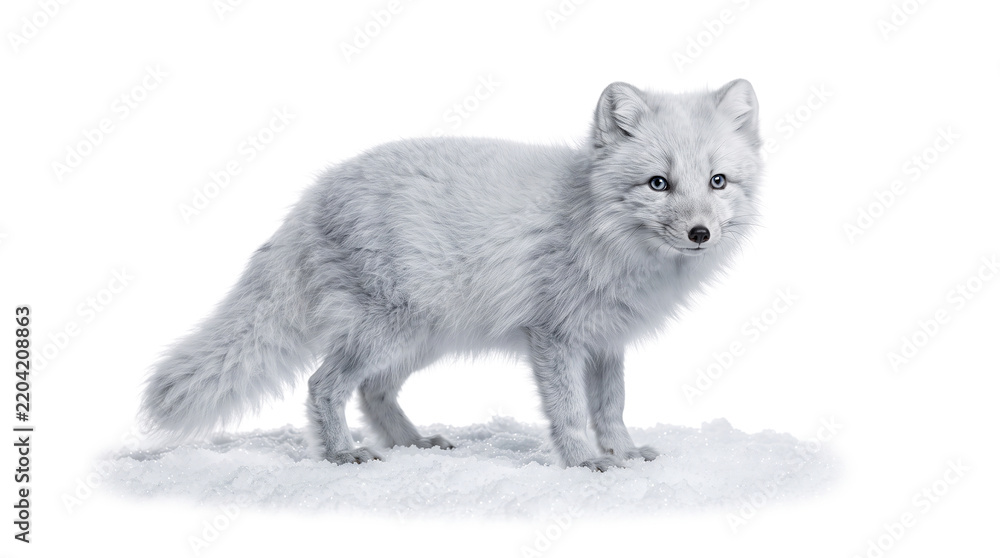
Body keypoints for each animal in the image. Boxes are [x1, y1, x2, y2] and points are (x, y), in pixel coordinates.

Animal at [140, 79, 763, 471]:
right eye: (658, 183)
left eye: (718, 181)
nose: (700, 234)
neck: (594, 223)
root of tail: (315, 193)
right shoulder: (554, 337)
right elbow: (569, 412)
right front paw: (585, 462)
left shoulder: (607, 342)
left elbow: (612, 407)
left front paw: (623, 454)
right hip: (387, 333)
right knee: (323, 385)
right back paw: (342, 454)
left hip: (420, 339)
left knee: (372, 389)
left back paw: (415, 445)